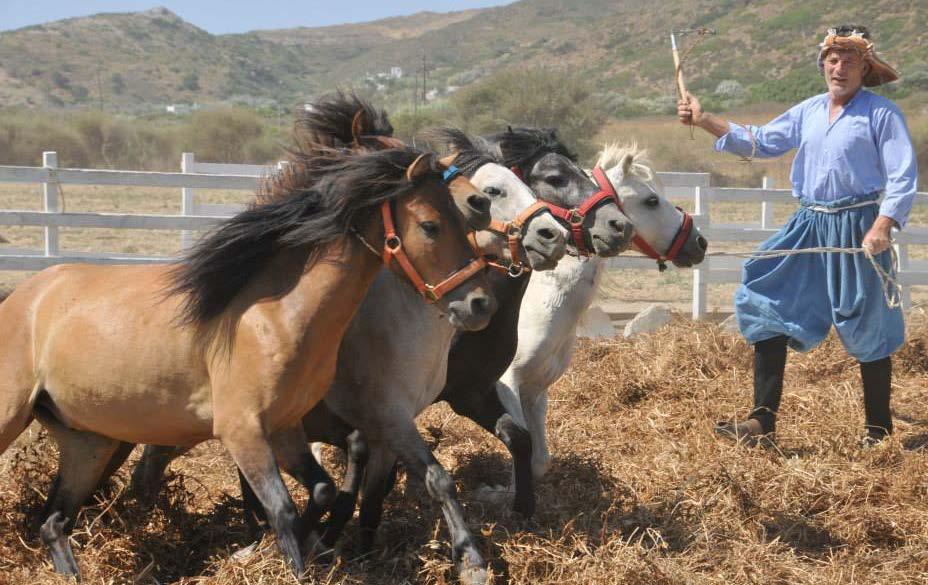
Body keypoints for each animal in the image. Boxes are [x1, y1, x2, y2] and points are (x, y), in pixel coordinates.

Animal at [0, 147, 496, 580]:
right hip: (16, 419)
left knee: (54, 523)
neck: (274, 314)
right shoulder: (243, 432)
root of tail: (26, 295)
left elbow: (321, 491)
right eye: (431, 225)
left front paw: (291, 548)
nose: (478, 304)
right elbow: (282, 510)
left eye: (462, 221)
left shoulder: (286, 428)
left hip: (89, 443)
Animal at [496, 144, 708, 482]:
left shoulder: (535, 390)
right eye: (651, 200)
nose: (700, 242)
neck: (536, 304)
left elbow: (539, 461)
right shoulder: (508, 385)